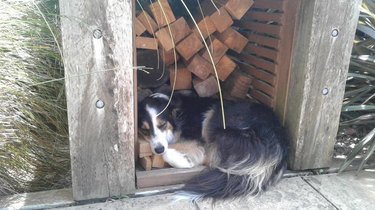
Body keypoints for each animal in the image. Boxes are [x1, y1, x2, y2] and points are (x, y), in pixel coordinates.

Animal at [138, 92, 288, 201]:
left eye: (162, 125)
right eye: (144, 130)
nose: (158, 149)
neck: (176, 114)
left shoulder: (195, 138)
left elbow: (174, 148)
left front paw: (177, 157)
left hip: (215, 116)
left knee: (210, 157)